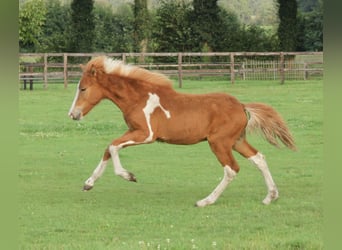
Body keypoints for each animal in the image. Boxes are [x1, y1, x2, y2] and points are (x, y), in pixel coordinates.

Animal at [68, 56, 296, 207]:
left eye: (83, 89)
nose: (73, 114)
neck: (139, 97)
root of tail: (241, 106)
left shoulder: (146, 134)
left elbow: (113, 147)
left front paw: (129, 176)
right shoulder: (132, 131)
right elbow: (108, 148)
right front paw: (88, 183)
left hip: (219, 143)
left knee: (231, 169)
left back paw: (205, 201)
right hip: (237, 141)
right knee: (259, 158)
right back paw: (270, 196)